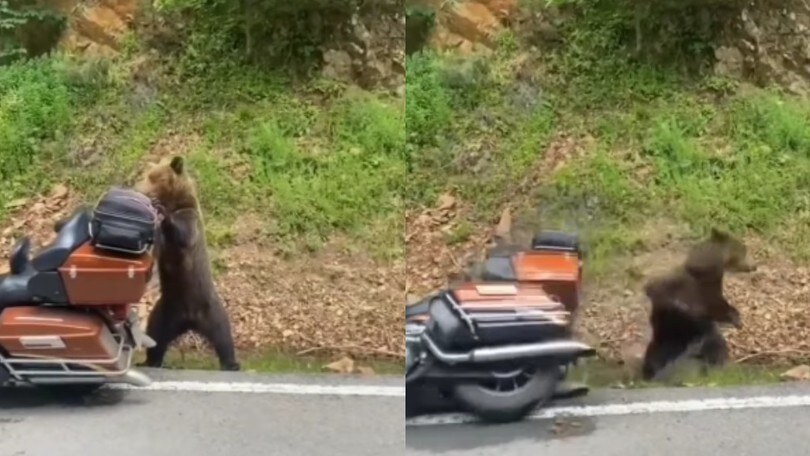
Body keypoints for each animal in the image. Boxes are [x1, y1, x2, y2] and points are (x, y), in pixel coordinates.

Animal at [133, 155, 240, 371]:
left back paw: (231, 363)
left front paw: (163, 214)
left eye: (154, 177)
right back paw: (149, 361)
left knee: (223, 335)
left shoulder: (190, 218)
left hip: (210, 308)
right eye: (148, 175)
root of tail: (189, 320)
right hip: (164, 312)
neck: (175, 201)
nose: (139, 189)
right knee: (156, 335)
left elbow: (182, 234)